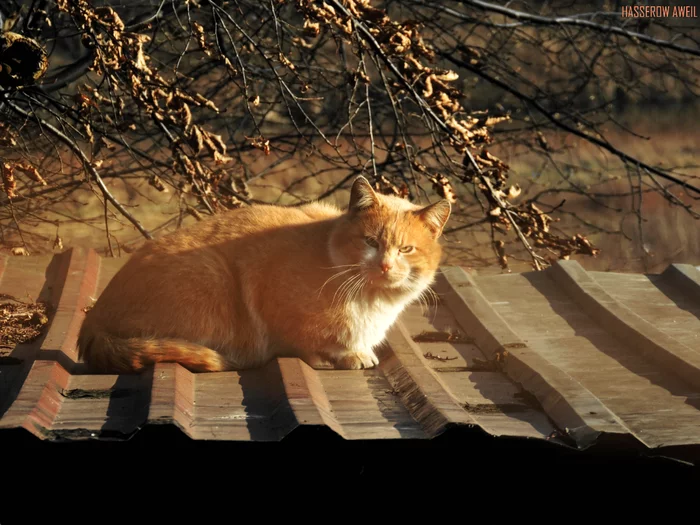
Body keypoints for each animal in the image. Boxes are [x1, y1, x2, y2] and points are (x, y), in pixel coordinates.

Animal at [76, 177, 448, 372]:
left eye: (405, 250)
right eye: (370, 242)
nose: (385, 265)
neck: (372, 302)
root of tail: (92, 321)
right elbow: (308, 344)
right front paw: (342, 356)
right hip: (212, 276)